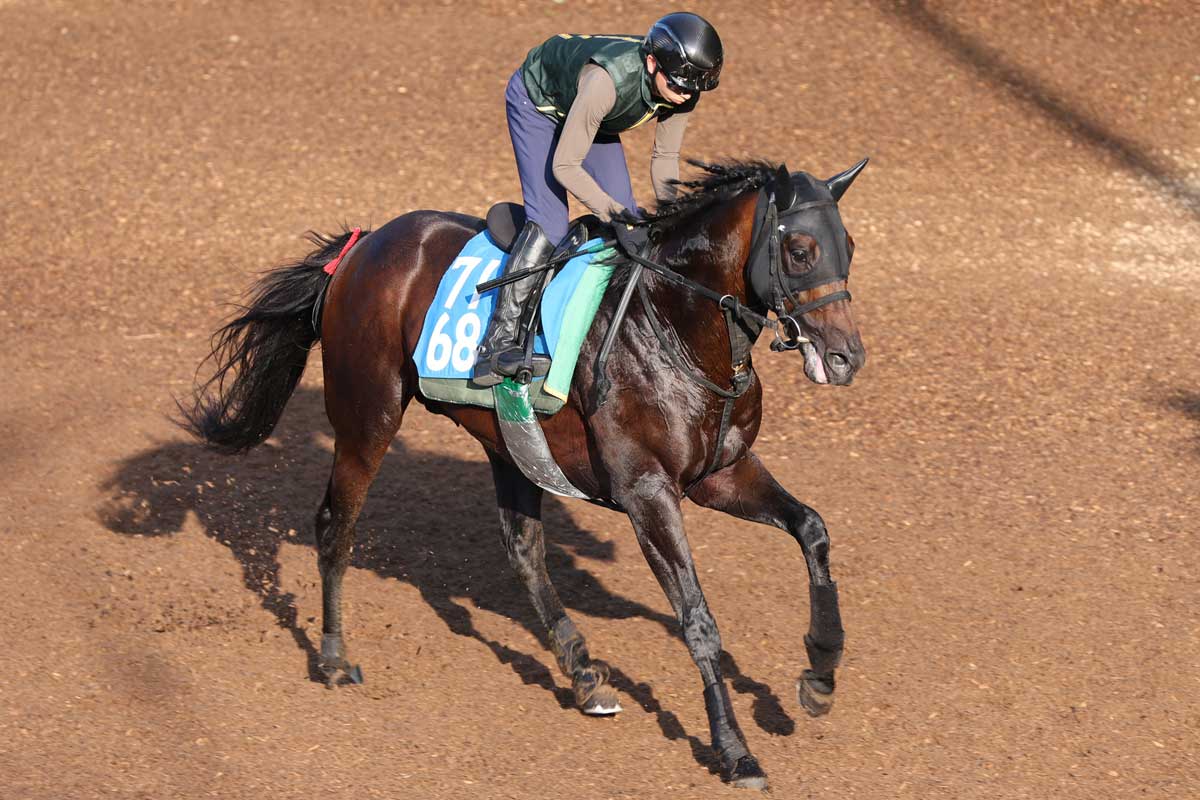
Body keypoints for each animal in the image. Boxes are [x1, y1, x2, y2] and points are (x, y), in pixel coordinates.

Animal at [181, 158, 867, 790]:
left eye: (850, 247)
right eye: (801, 250)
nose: (845, 357)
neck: (676, 327)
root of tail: (361, 245)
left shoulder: (720, 475)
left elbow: (813, 528)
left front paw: (820, 671)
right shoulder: (647, 491)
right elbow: (698, 620)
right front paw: (734, 750)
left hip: (510, 442)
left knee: (523, 551)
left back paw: (584, 676)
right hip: (367, 418)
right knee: (335, 526)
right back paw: (333, 657)